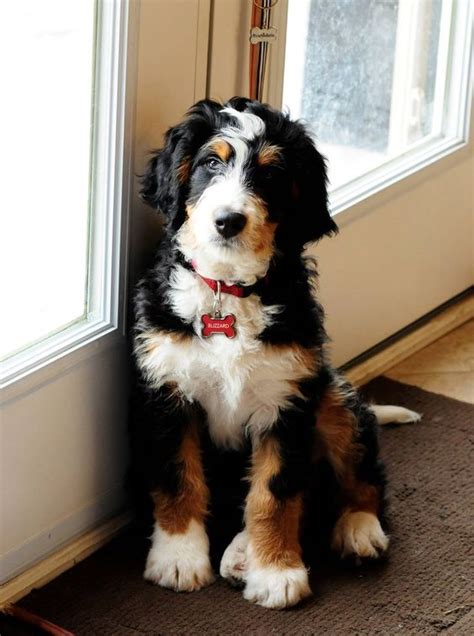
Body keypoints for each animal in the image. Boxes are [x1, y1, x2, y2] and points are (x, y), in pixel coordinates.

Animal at [129, 97, 418, 608]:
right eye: (211, 163)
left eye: (271, 175)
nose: (228, 221)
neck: (228, 290)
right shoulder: (167, 391)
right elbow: (178, 477)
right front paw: (178, 558)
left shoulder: (288, 399)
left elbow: (275, 493)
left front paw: (277, 571)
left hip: (332, 397)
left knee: (364, 477)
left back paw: (358, 530)